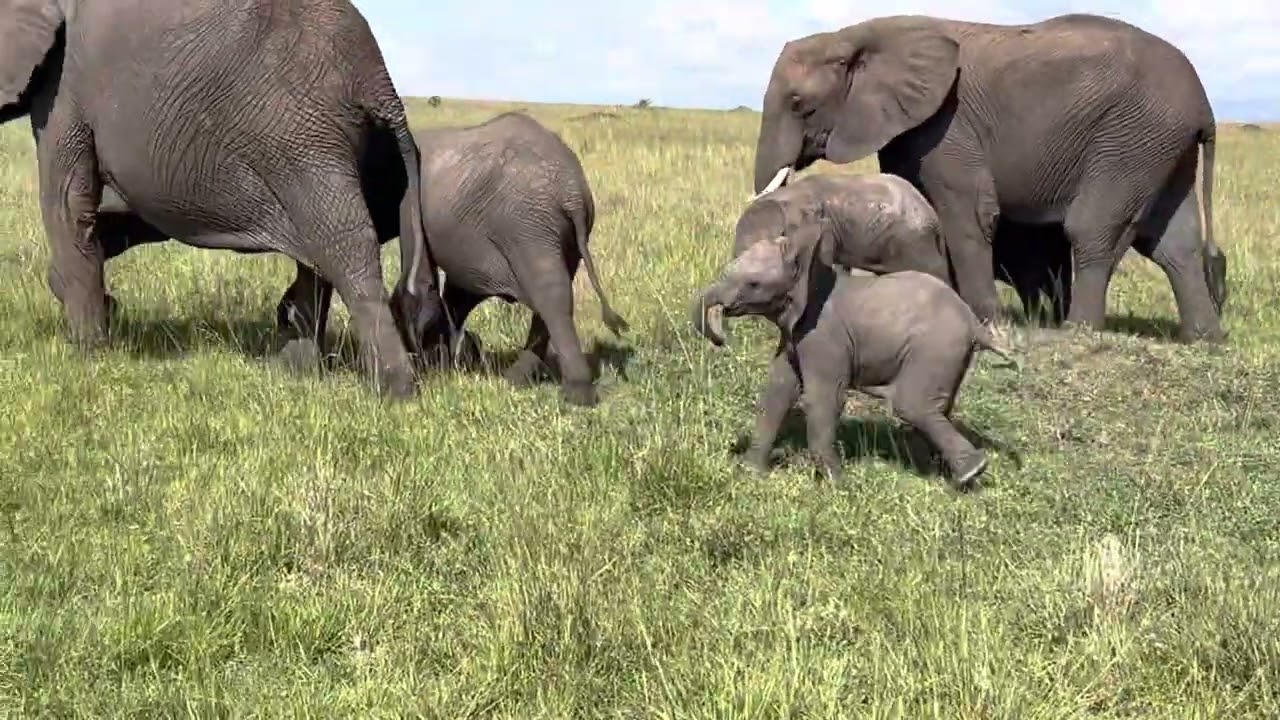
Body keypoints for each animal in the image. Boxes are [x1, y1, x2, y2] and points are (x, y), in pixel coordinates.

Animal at [0, 0, 441, 398]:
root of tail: (378, 83)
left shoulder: (63, 86)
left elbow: (68, 205)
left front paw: (89, 355)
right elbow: (118, 217)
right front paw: (94, 305)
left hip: (302, 139)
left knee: (346, 246)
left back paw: (395, 392)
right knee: (319, 253)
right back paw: (294, 370)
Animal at [690, 223, 1017, 487]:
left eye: (753, 284)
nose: (721, 338)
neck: (806, 259)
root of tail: (976, 325)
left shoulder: (823, 337)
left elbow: (822, 399)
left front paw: (837, 485)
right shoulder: (795, 335)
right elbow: (777, 393)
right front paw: (750, 473)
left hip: (935, 347)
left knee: (912, 404)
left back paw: (970, 473)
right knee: (936, 407)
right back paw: (945, 470)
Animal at [751, 12, 1228, 343]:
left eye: (798, 103)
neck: (856, 33)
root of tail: (1205, 107)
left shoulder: (948, 124)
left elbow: (968, 212)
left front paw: (983, 319)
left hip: (1132, 135)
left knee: (1092, 228)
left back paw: (1078, 332)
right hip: (1161, 144)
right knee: (1173, 243)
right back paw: (1204, 340)